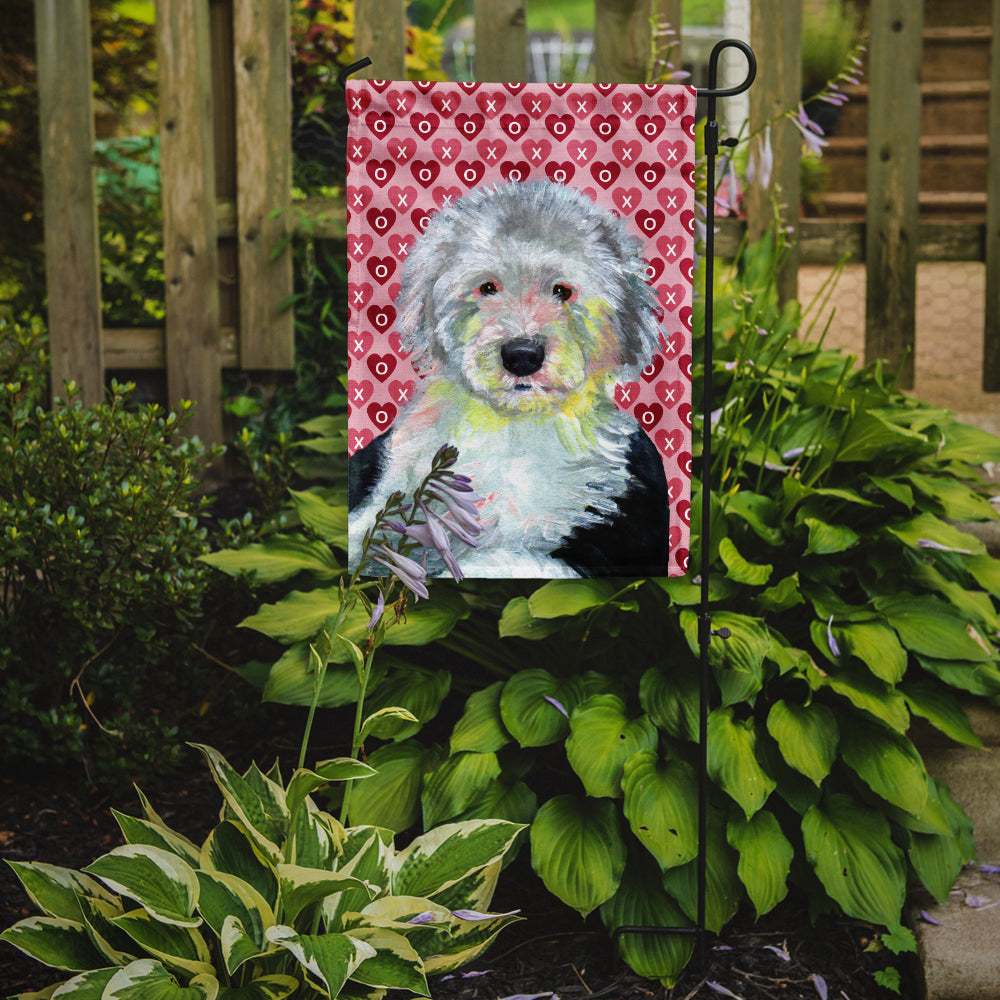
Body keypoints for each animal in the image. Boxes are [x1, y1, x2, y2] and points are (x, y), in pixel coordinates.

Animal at [348, 180, 668, 580]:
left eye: (562, 290)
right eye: (488, 287)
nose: (522, 357)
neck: (511, 425)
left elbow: (506, 562)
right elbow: (368, 531)